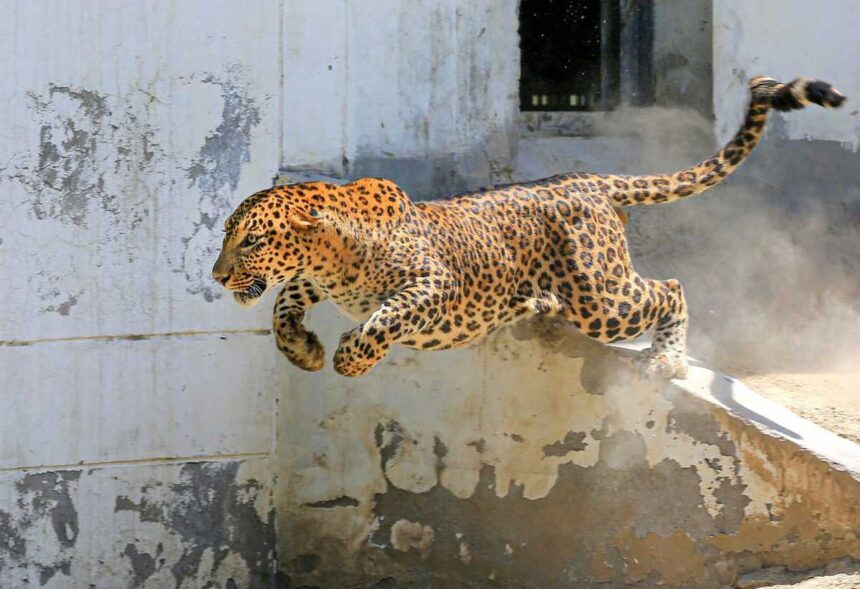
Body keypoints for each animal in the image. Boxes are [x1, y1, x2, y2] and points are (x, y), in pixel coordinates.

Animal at [212, 77, 845, 379]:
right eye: (226, 234)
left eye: (253, 240)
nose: (217, 277)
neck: (334, 255)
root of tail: (584, 180)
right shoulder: (312, 280)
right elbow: (283, 303)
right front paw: (303, 350)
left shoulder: (433, 284)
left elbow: (385, 317)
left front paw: (349, 358)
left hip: (601, 299)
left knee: (669, 288)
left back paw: (667, 358)